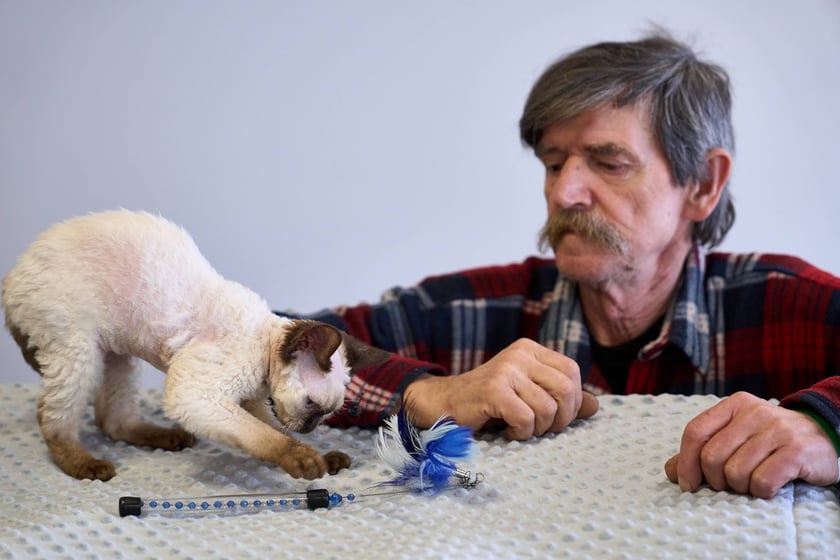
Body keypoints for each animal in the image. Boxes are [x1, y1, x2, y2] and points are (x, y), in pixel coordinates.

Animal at [1, 210, 389, 482]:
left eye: (325, 414)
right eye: (312, 405)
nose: (309, 428)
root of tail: (12, 275)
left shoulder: (249, 401)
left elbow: (270, 427)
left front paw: (325, 457)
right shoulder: (198, 395)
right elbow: (265, 436)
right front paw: (307, 459)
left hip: (116, 354)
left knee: (112, 420)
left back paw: (168, 438)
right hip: (81, 352)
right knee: (53, 420)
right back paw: (87, 465)